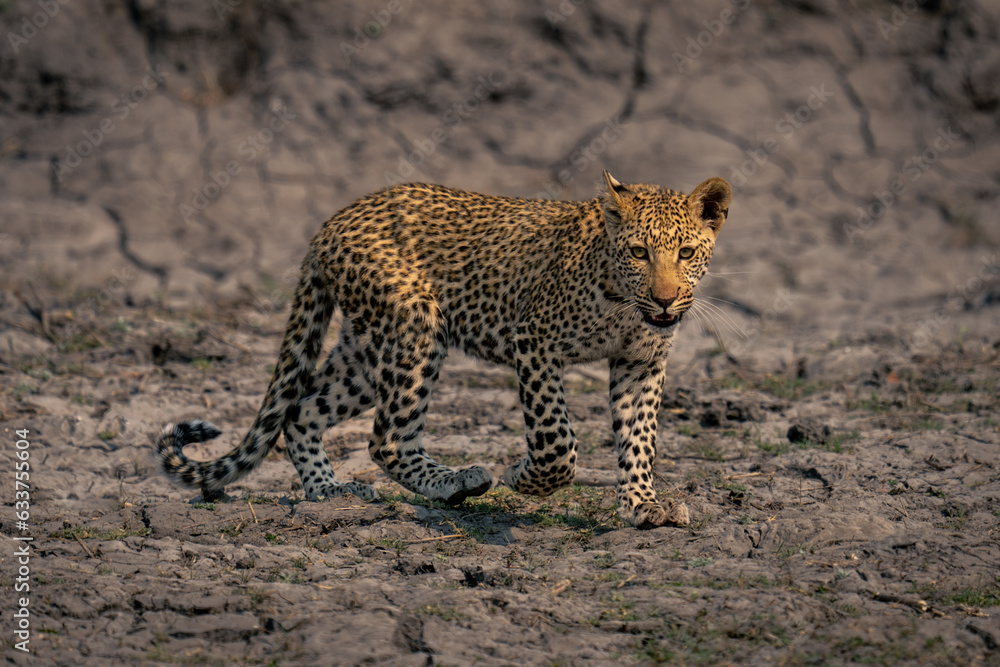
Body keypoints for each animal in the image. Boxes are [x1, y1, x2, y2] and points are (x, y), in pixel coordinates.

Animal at [156, 171, 732, 528]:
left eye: (686, 252)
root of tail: (332, 221)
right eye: (638, 251)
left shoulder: (640, 362)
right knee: (386, 438)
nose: (665, 299)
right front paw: (526, 479)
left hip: (367, 349)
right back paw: (455, 481)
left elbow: (639, 439)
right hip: (416, 325)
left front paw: (642, 505)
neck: (624, 302)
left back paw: (329, 491)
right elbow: (556, 438)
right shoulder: (534, 342)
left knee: (302, 408)